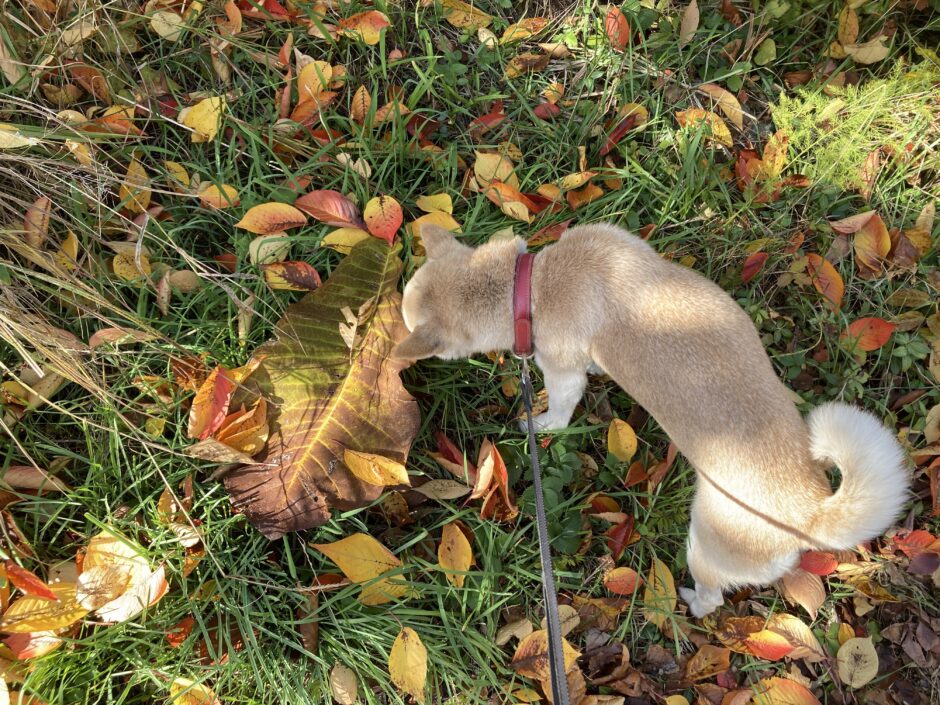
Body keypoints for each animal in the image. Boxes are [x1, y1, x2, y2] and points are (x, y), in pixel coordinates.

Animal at [394, 223, 912, 612]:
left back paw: (690, 601)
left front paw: (536, 425)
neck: (532, 284)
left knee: (712, 596)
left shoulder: (561, 374)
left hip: (704, 546)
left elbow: (558, 410)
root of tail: (812, 510)